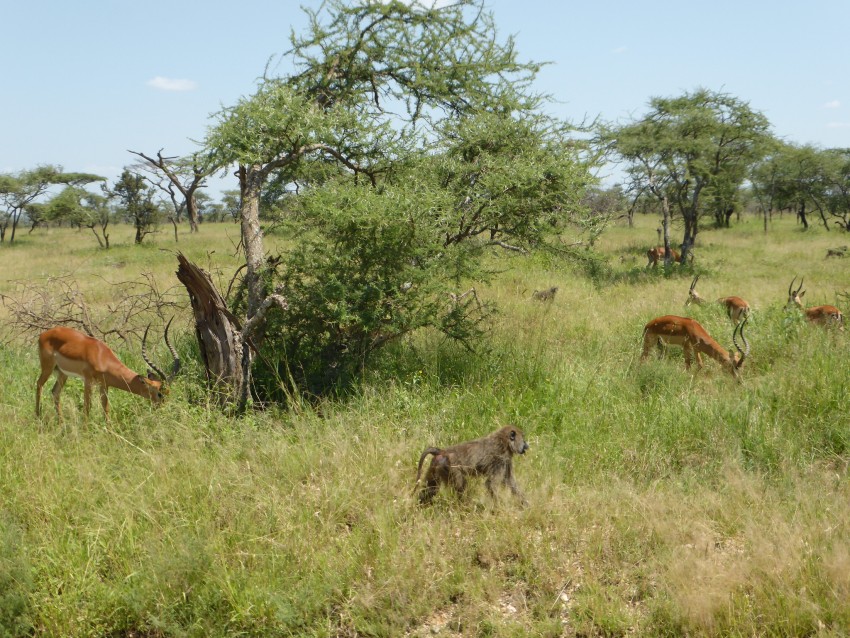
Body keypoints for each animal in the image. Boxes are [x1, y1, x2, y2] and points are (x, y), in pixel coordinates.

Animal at [36, 319, 181, 419]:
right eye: (159, 393)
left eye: (169, 392)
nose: (163, 409)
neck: (103, 358)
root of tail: (43, 334)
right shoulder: (88, 381)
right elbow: (87, 407)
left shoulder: (104, 385)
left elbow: (105, 409)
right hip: (47, 368)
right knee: (39, 384)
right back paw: (38, 418)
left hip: (62, 373)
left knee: (55, 392)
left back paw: (61, 423)